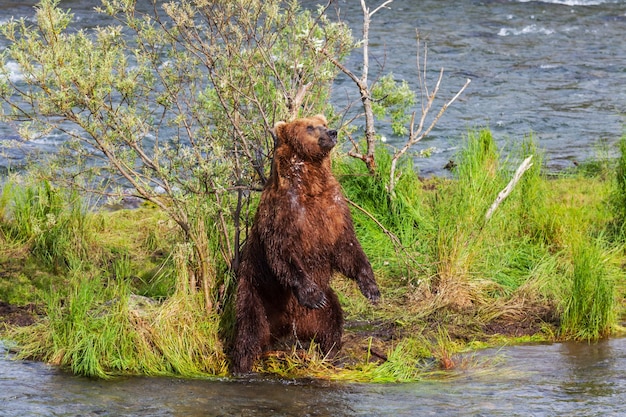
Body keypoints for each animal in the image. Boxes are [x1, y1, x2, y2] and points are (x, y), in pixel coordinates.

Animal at [230, 114, 380, 374]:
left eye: (323, 123)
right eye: (310, 127)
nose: (332, 132)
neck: (310, 182)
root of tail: (287, 329)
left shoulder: (332, 208)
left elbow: (347, 246)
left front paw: (371, 288)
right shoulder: (284, 211)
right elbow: (281, 251)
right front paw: (312, 295)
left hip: (320, 310)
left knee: (332, 319)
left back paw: (331, 353)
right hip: (256, 293)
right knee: (250, 330)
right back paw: (243, 366)